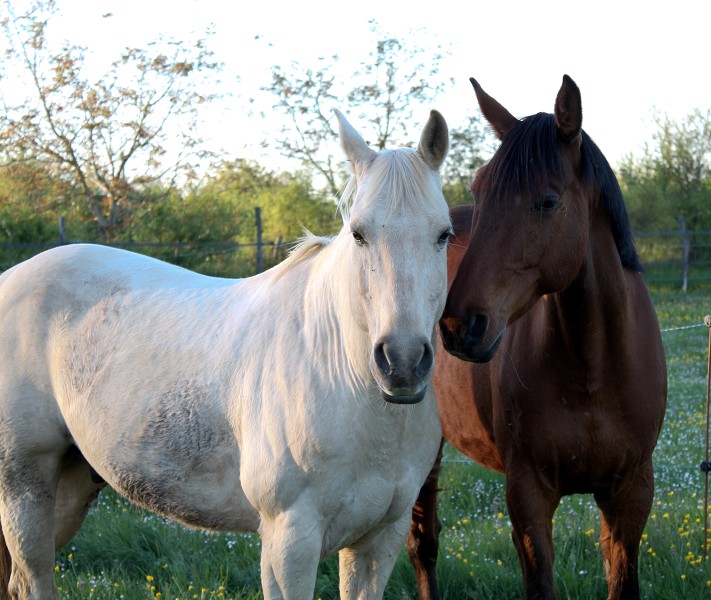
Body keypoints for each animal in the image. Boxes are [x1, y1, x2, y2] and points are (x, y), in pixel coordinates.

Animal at [0, 109, 450, 600]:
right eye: (358, 233)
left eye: (444, 235)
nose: (402, 363)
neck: (338, 373)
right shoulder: (289, 541)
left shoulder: (379, 539)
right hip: (24, 483)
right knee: (33, 577)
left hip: (72, 482)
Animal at [408, 76, 672, 600]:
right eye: (480, 191)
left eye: (548, 201)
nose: (459, 326)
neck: (592, 370)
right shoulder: (528, 498)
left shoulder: (631, 494)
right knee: (422, 544)